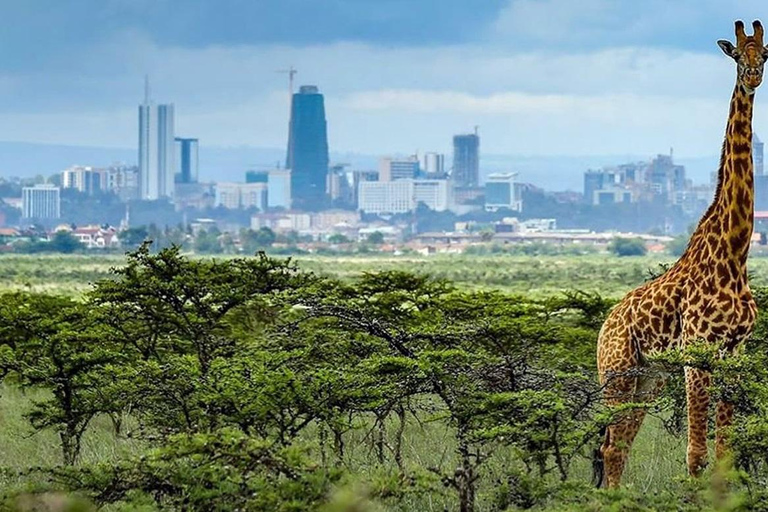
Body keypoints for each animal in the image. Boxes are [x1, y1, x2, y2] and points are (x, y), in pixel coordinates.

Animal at [596, 21, 764, 488]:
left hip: (648, 377)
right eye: (737, 56)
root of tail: (604, 326)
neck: (735, 253)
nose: (753, 77)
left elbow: (724, 451)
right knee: (610, 445)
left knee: (619, 446)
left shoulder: (734, 352)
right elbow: (696, 454)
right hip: (616, 372)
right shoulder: (697, 352)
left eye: (765, 54)